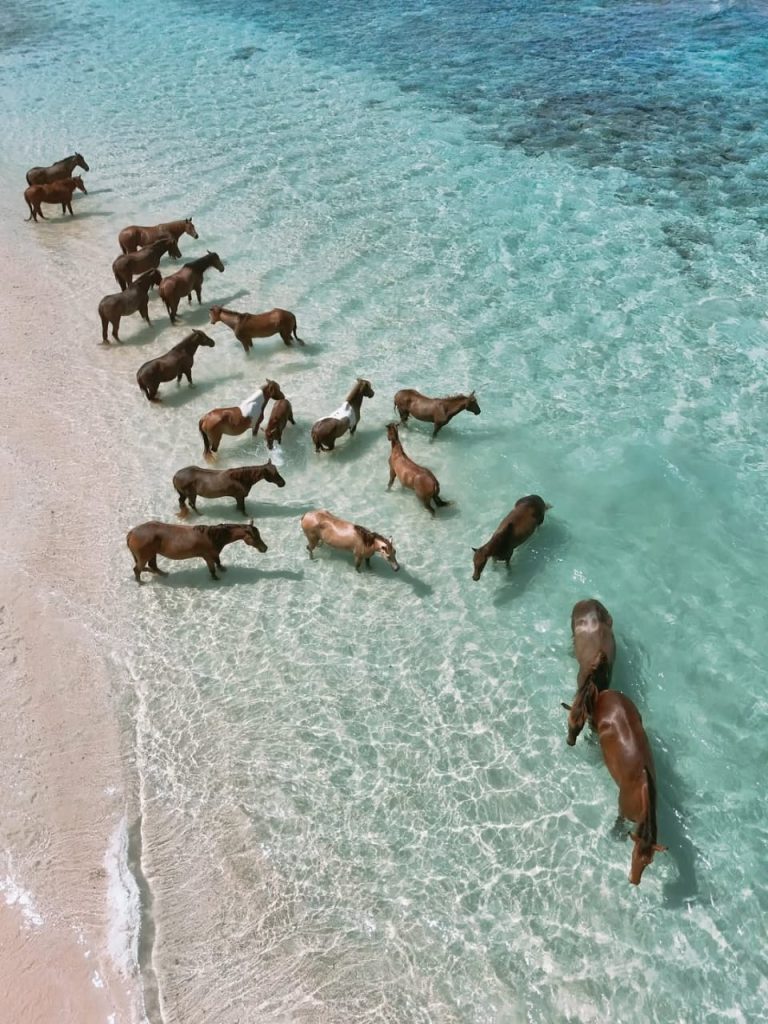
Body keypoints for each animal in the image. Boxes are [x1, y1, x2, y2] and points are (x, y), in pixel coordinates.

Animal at [126, 520, 267, 582]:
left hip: (152, 554)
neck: (213, 536)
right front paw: (215, 578)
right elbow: (212, 568)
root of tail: (132, 532)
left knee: (152, 566)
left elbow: (218, 561)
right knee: (137, 569)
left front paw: (222, 568)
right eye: (255, 537)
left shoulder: (213, 554)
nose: (265, 548)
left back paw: (163, 574)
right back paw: (140, 581)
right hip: (144, 556)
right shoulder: (208, 556)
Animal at [561, 686, 666, 885]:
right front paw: (614, 835)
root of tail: (607, 693)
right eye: (633, 855)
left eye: (649, 862)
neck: (641, 790)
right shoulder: (622, 810)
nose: (634, 881)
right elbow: (618, 823)